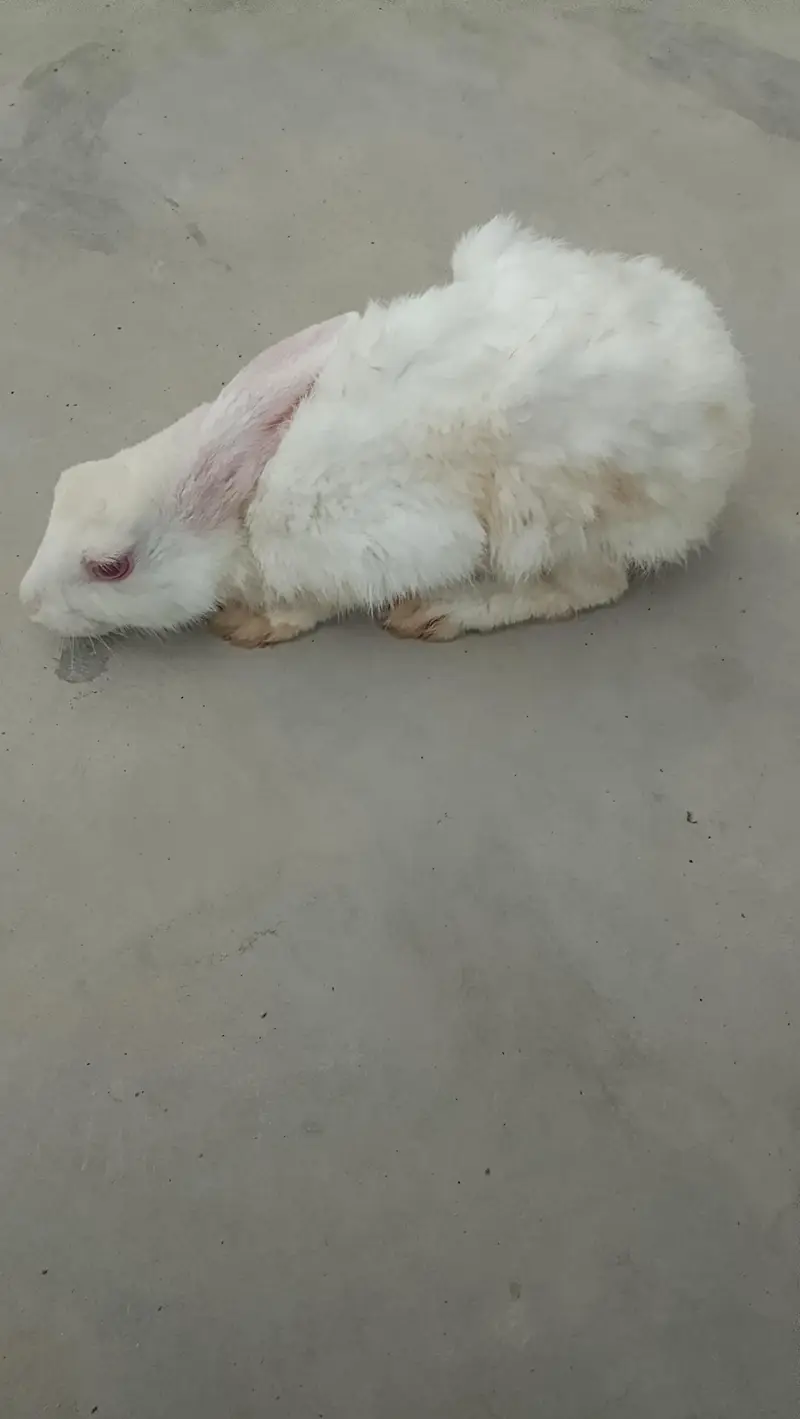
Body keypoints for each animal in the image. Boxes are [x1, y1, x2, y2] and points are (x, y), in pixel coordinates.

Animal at [21, 216, 750, 647]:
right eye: (62, 486)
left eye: (110, 567)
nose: (27, 602)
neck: (243, 508)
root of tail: (729, 404)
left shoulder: (366, 546)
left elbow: (316, 601)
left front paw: (255, 624)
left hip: (548, 511)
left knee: (590, 587)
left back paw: (444, 611)